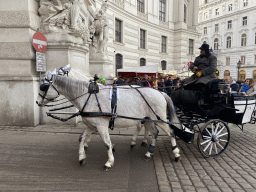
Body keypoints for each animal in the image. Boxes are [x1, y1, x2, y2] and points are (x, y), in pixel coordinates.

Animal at [36, 74, 182, 170]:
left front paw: (109, 161)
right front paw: (82, 157)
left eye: (44, 87)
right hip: (148, 119)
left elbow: (107, 143)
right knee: (154, 132)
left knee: (171, 132)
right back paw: (148, 152)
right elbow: (82, 138)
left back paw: (176, 153)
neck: (88, 96)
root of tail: (160, 93)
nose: (37, 102)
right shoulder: (91, 125)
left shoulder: (101, 126)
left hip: (159, 118)